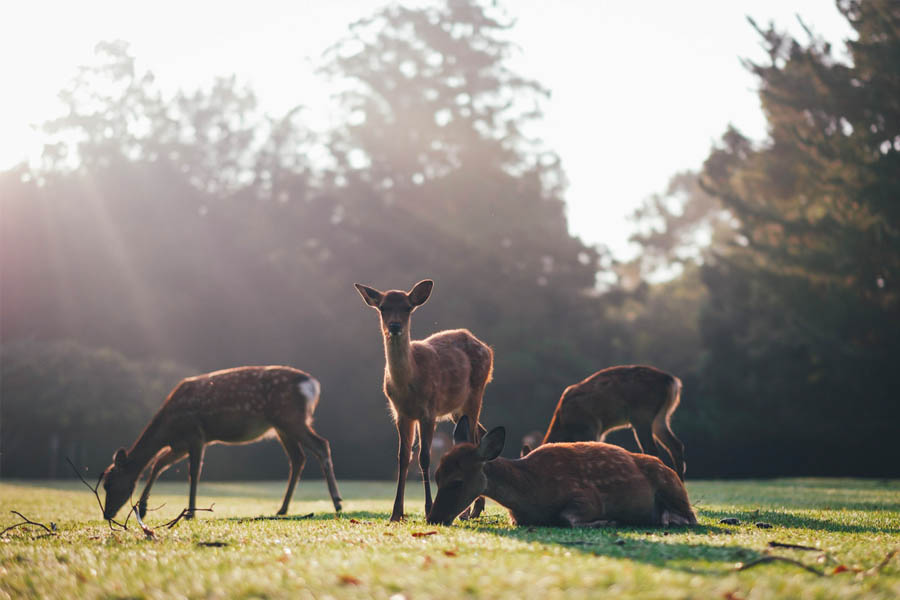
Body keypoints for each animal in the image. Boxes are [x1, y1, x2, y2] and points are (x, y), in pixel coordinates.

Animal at [99, 366, 342, 520]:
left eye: (109, 483)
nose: (106, 514)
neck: (168, 427)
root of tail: (312, 385)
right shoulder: (179, 445)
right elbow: (158, 464)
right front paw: (143, 508)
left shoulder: (196, 435)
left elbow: (193, 472)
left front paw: (190, 513)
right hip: (282, 426)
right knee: (298, 458)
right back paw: (282, 509)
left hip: (290, 417)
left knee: (321, 445)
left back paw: (337, 502)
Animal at [354, 280, 492, 520]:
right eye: (382, 307)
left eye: (408, 307)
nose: (395, 326)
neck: (409, 385)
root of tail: (487, 349)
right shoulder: (401, 413)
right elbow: (403, 457)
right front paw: (396, 513)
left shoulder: (429, 411)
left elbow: (424, 457)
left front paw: (428, 510)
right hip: (457, 409)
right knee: (479, 434)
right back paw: (473, 509)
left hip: (476, 394)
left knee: (474, 439)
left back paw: (470, 511)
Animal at [428, 414, 696, 528]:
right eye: (437, 475)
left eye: (457, 481)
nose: (433, 518)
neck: (532, 491)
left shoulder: (587, 496)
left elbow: (568, 517)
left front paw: (608, 520)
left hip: (672, 486)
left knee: (691, 517)